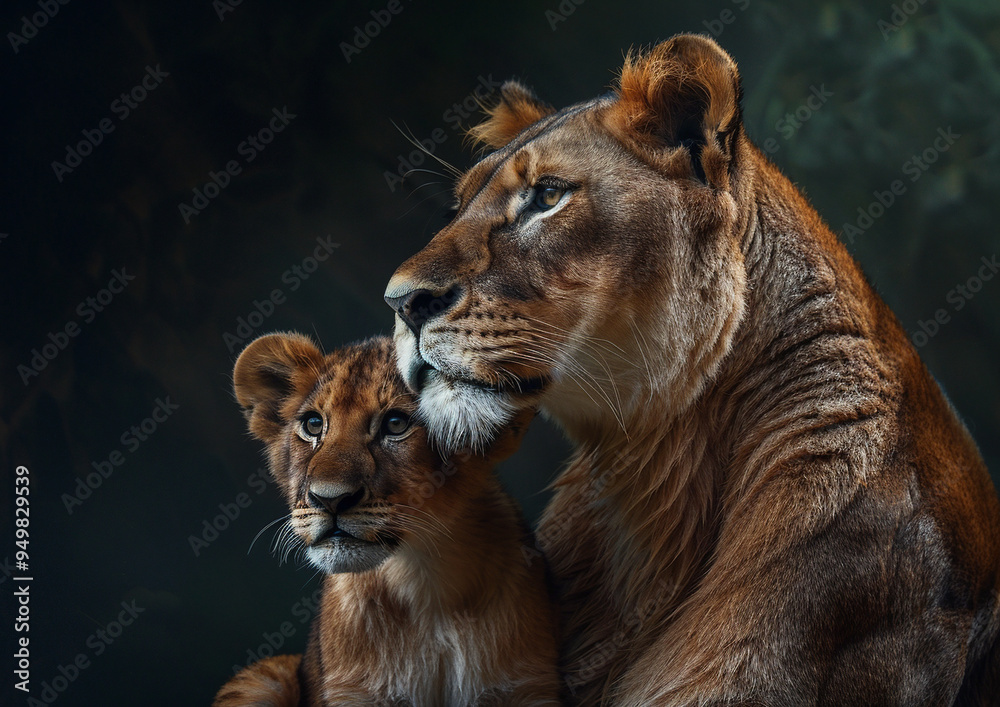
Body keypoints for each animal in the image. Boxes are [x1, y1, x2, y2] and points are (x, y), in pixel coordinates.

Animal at [215, 334, 560, 706]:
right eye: (313, 425)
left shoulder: (528, 686)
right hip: (264, 674)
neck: (424, 587)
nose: (329, 499)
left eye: (396, 424)